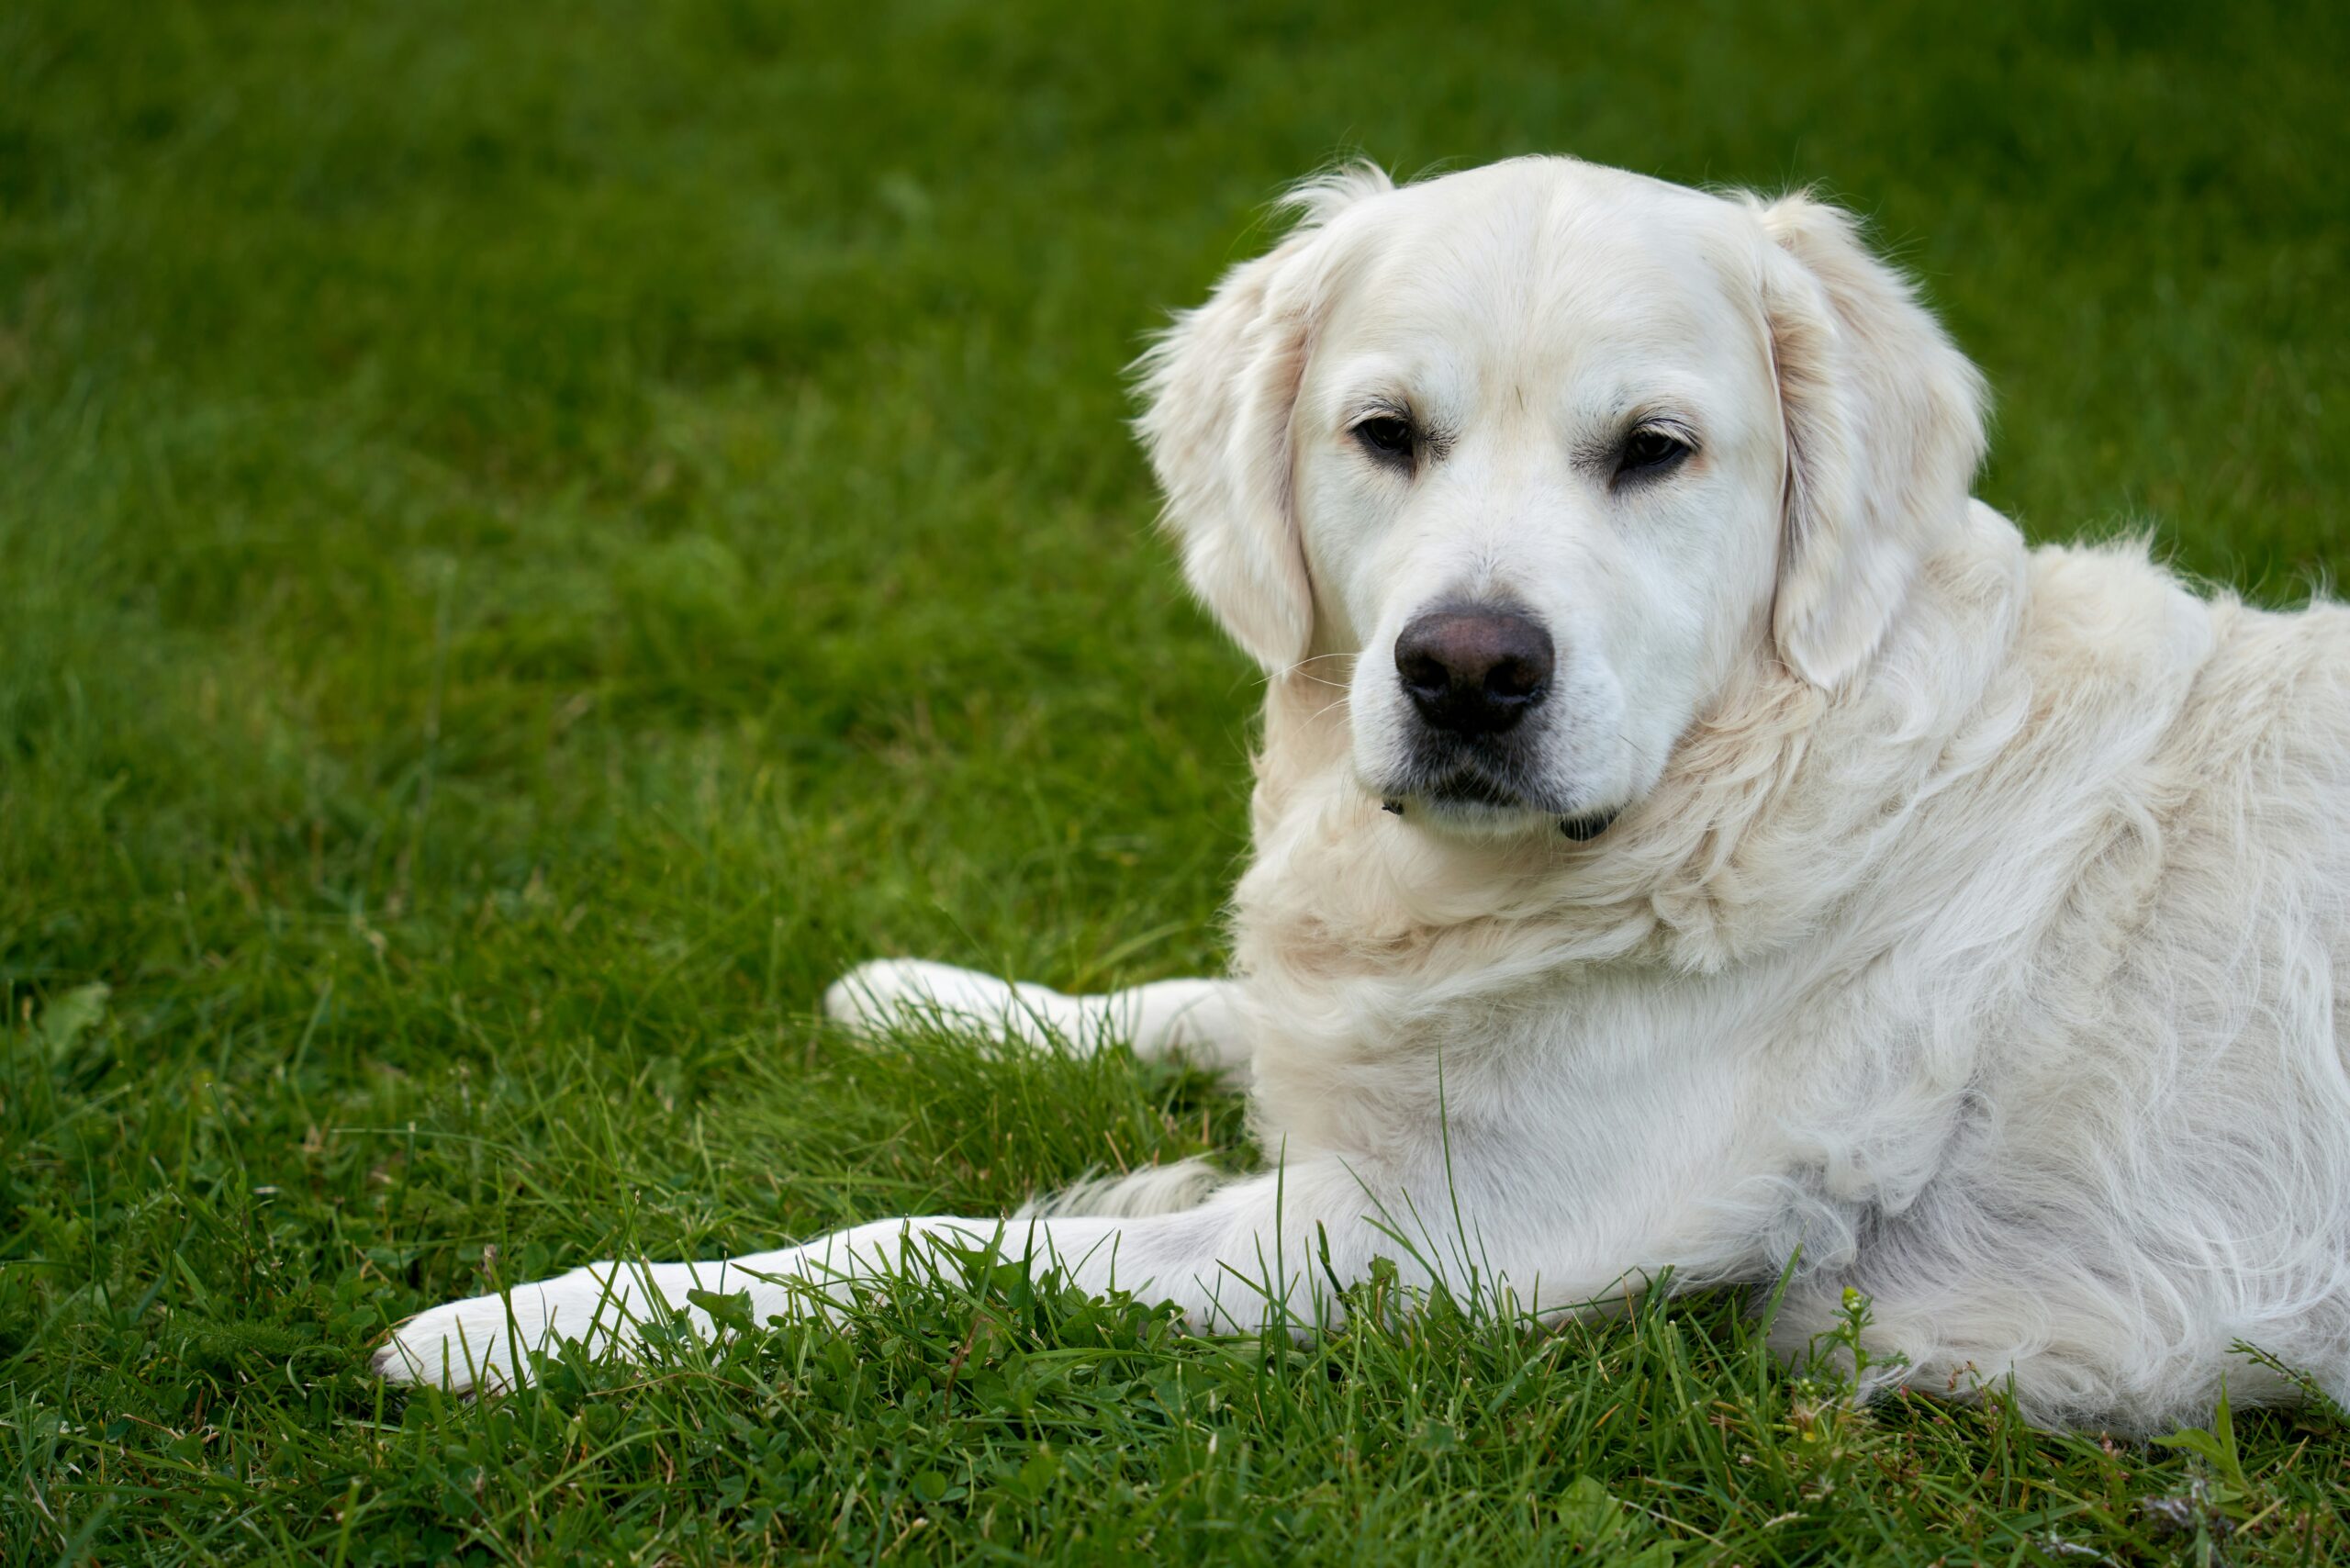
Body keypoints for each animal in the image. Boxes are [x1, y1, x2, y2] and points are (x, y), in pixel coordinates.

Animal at [375, 160, 2350, 1439]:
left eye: (1655, 451)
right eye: (1385, 433)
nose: (1467, 669)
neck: (1744, 778)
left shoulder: (1434, 1240)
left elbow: (922, 1243)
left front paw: (521, 1323)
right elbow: (1203, 999)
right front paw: (932, 998)